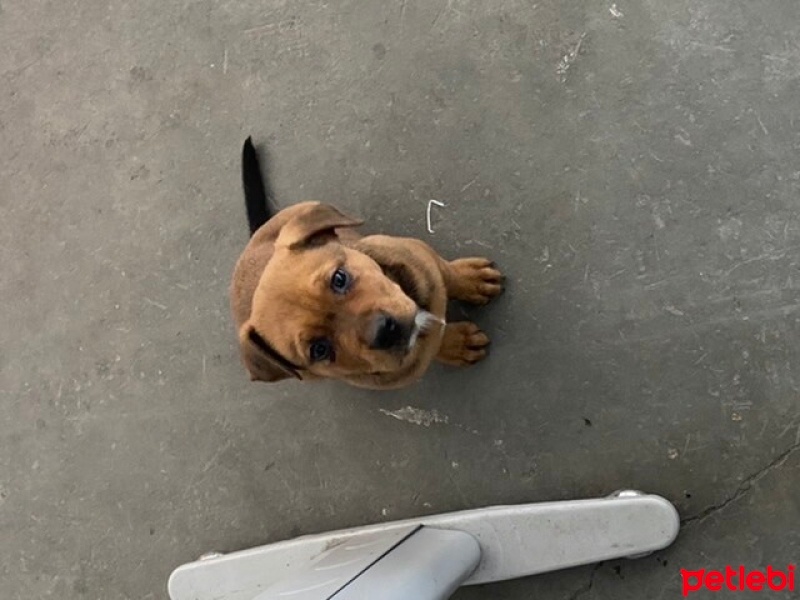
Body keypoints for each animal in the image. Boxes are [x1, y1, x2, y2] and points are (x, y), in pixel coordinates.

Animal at [228, 137, 504, 390]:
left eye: (339, 278)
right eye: (319, 350)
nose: (385, 331)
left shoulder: (422, 256)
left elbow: (447, 273)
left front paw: (472, 280)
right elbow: (436, 342)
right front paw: (457, 344)